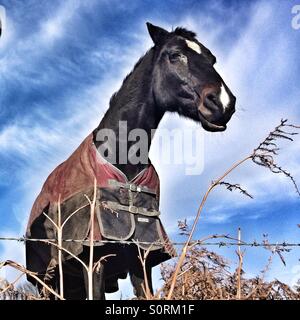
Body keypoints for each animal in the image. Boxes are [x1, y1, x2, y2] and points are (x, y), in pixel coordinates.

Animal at [25, 23, 237, 300]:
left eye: (212, 59)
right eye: (174, 55)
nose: (223, 103)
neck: (121, 156)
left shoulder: (142, 258)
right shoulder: (94, 259)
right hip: (47, 282)